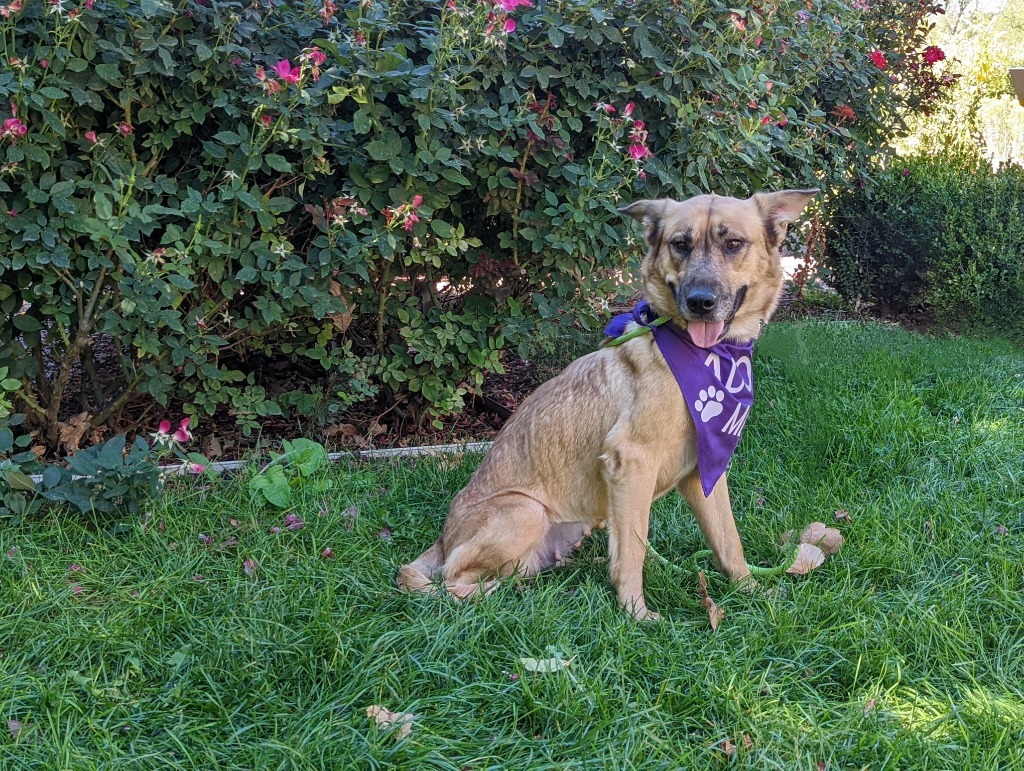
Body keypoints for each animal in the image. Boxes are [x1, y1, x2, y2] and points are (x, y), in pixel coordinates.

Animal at [395, 188, 819, 618]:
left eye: (733, 243)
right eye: (680, 244)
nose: (700, 302)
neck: (705, 357)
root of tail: (443, 540)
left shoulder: (706, 470)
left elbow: (728, 541)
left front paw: (752, 590)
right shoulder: (631, 464)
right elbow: (633, 550)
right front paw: (635, 613)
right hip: (525, 511)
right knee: (452, 582)